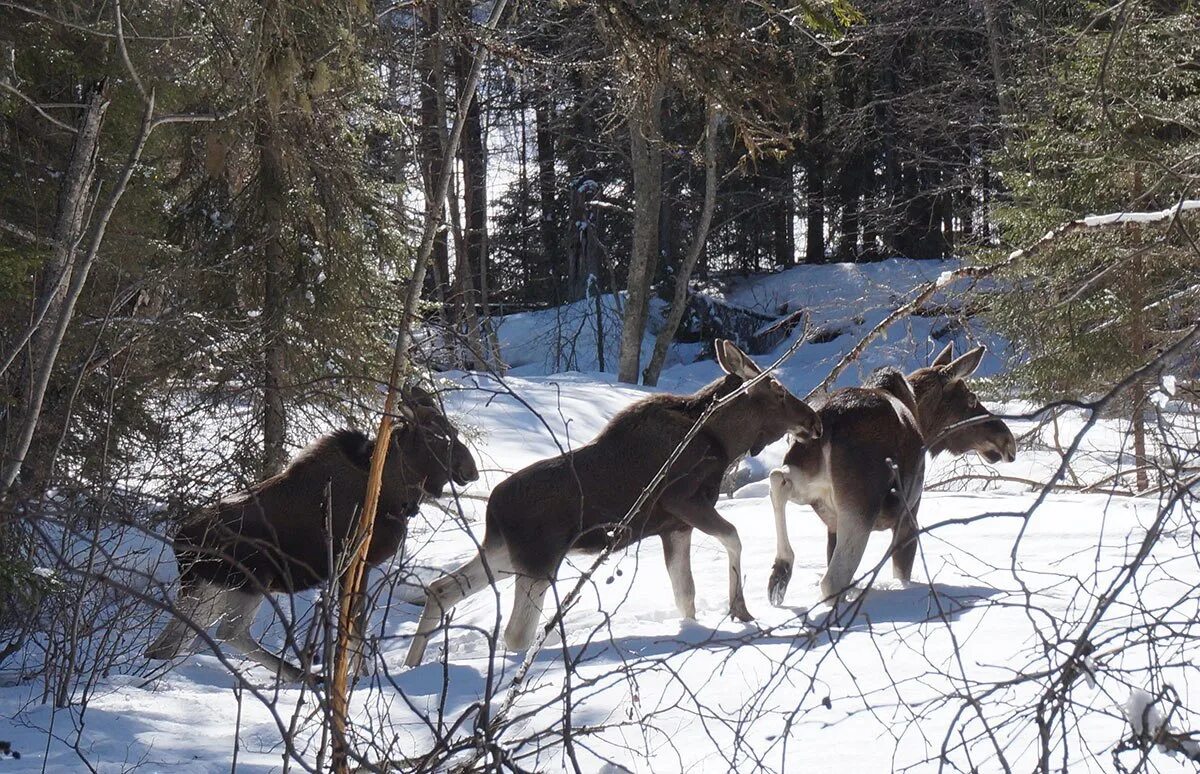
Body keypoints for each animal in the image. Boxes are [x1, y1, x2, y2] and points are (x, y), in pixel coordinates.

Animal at [142, 388, 475, 681]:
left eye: (455, 431)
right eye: (435, 434)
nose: (470, 470)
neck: (395, 494)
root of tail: (181, 543)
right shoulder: (354, 563)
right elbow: (354, 629)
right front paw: (359, 678)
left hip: (208, 588)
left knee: (167, 644)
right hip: (250, 580)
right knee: (228, 632)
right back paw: (301, 674)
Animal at [405, 340, 825, 667]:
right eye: (778, 389)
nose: (814, 420)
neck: (724, 442)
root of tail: (493, 509)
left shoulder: (675, 527)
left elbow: (685, 595)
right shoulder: (683, 501)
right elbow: (734, 537)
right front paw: (739, 608)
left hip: (504, 555)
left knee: (440, 589)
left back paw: (411, 666)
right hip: (539, 562)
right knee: (515, 633)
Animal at [768, 343, 1012, 604]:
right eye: (971, 399)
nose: (1007, 440)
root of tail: (830, 421)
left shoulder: (831, 527)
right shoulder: (909, 514)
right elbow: (902, 571)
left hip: (807, 477)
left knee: (777, 479)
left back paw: (780, 574)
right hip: (861, 506)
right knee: (833, 580)